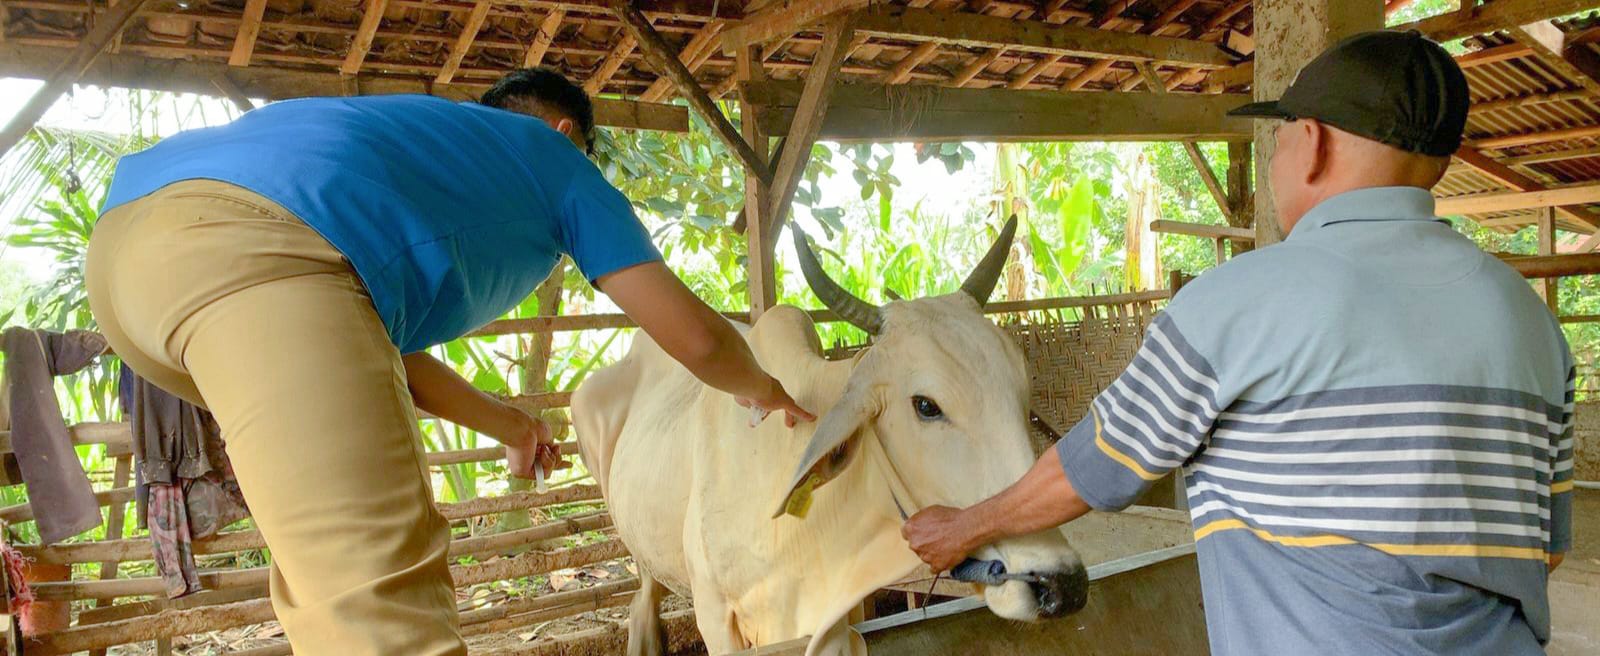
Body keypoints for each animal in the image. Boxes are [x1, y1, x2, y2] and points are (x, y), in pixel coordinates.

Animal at [572, 217, 1088, 652]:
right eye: (926, 405)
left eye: (1022, 393)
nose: (1061, 585)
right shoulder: (716, 617)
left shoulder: (835, 620)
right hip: (639, 553)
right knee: (642, 609)